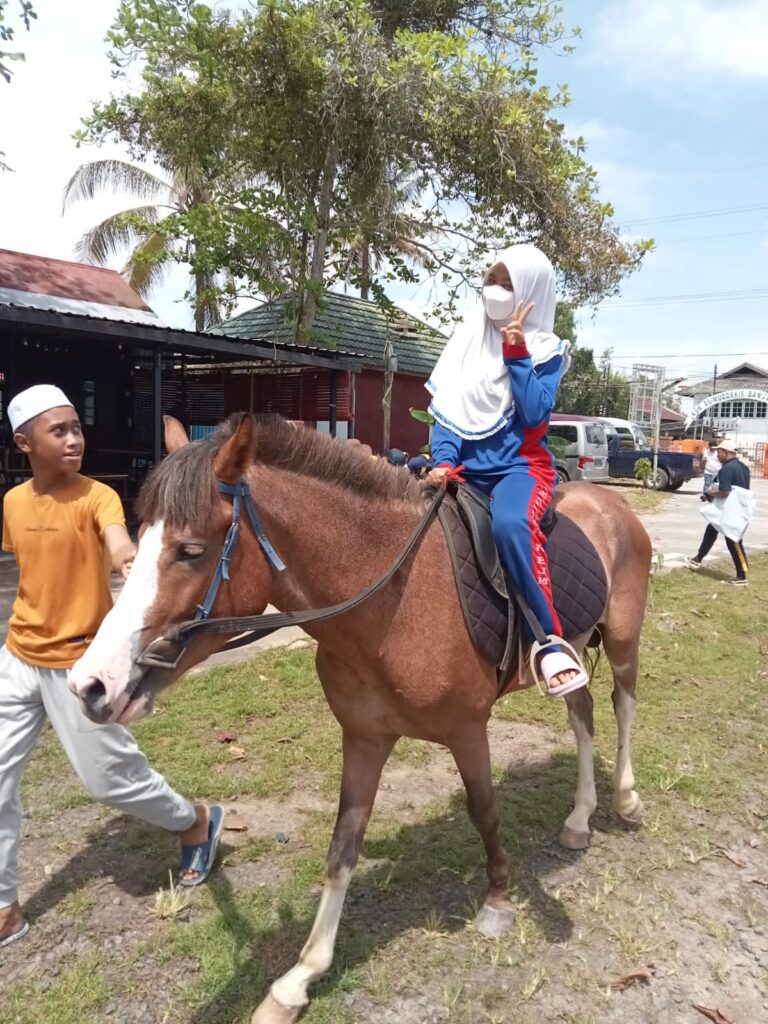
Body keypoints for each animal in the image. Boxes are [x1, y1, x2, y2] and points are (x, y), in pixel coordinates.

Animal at [69, 415, 651, 1024]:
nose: (92, 685)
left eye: (190, 551)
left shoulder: (468, 729)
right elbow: (342, 847)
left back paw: (625, 800)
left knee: (623, 706)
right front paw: (298, 979)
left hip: (622, 641)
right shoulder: (365, 737)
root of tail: (609, 501)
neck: (393, 601)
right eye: (140, 539)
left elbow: (485, 812)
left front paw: (497, 901)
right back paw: (579, 818)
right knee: (583, 715)